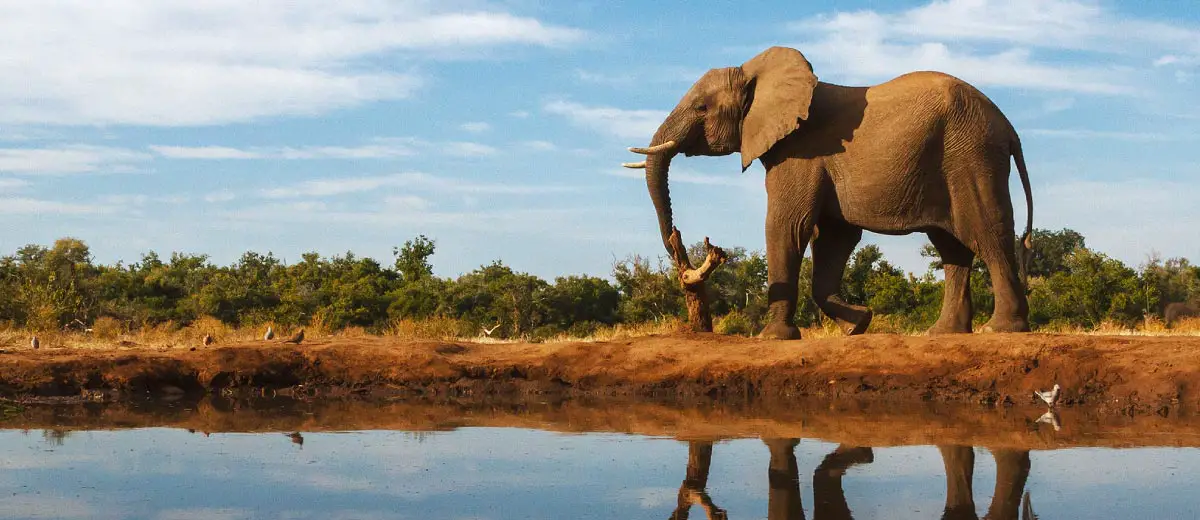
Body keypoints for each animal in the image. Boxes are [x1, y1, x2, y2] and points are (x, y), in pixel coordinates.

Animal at [628, 46, 1032, 338]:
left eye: (701, 107)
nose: (681, 243)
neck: (754, 72)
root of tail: (1009, 127)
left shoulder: (800, 152)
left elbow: (787, 226)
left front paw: (773, 338)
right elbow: (834, 236)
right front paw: (858, 325)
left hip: (970, 156)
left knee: (987, 232)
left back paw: (1000, 330)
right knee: (952, 247)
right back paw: (944, 333)